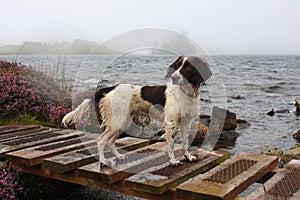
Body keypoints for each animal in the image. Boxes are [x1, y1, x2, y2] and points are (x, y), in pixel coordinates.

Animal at [61, 55, 211, 166]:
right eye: (178, 65)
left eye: (188, 67)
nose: (173, 77)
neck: (185, 93)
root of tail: (111, 88)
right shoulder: (170, 123)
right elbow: (171, 144)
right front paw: (173, 161)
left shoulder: (186, 123)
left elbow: (185, 143)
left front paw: (188, 157)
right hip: (117, 122)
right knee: (101, 140)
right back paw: (103, 161)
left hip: (123, 122)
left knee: (110, 141)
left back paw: (119, 156)